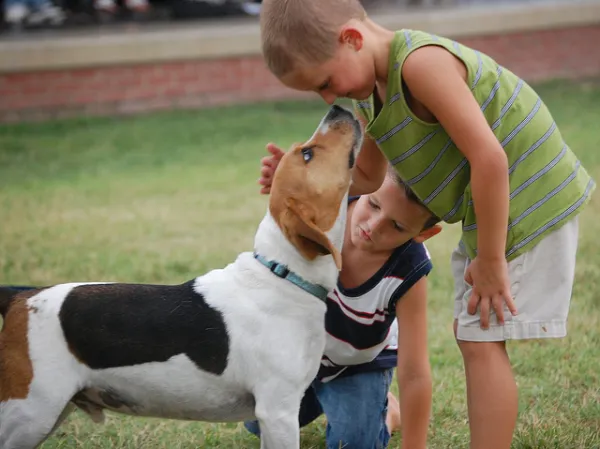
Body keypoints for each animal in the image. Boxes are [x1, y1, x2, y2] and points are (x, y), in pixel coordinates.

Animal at [0, 103, 364, 446]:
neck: (283, 274)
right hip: (31, 412)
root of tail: (21, 296)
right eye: (308, 154)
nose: (337, 109)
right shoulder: (278, 411)